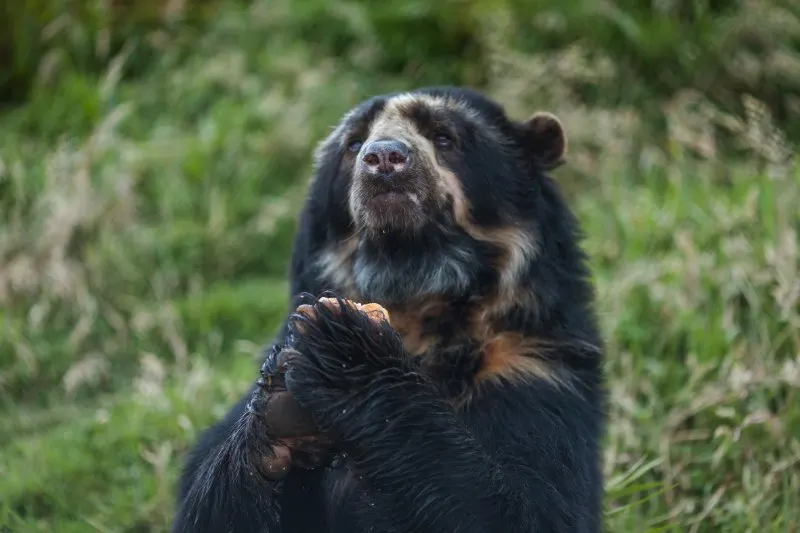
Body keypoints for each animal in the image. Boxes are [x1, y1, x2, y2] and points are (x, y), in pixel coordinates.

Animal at [170, 85, 608, 528]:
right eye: (353, 144)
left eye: (444, 137)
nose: (382, 158)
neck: (414, 295)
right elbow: (204, 506)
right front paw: (280, 405)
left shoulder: (534, 368)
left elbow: (530, 505)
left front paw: (344, 347)